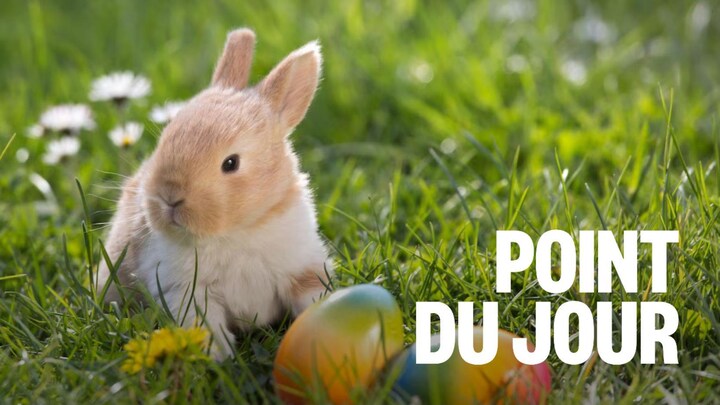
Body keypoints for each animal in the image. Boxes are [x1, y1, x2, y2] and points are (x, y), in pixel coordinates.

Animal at [97, 28, 333, 359]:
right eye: (165, 139)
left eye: (231, 163)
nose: (169, 196)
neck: (237, 230)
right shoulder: (189, 292)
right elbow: (206, 325)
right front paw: (220, 358)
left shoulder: (303, 270)